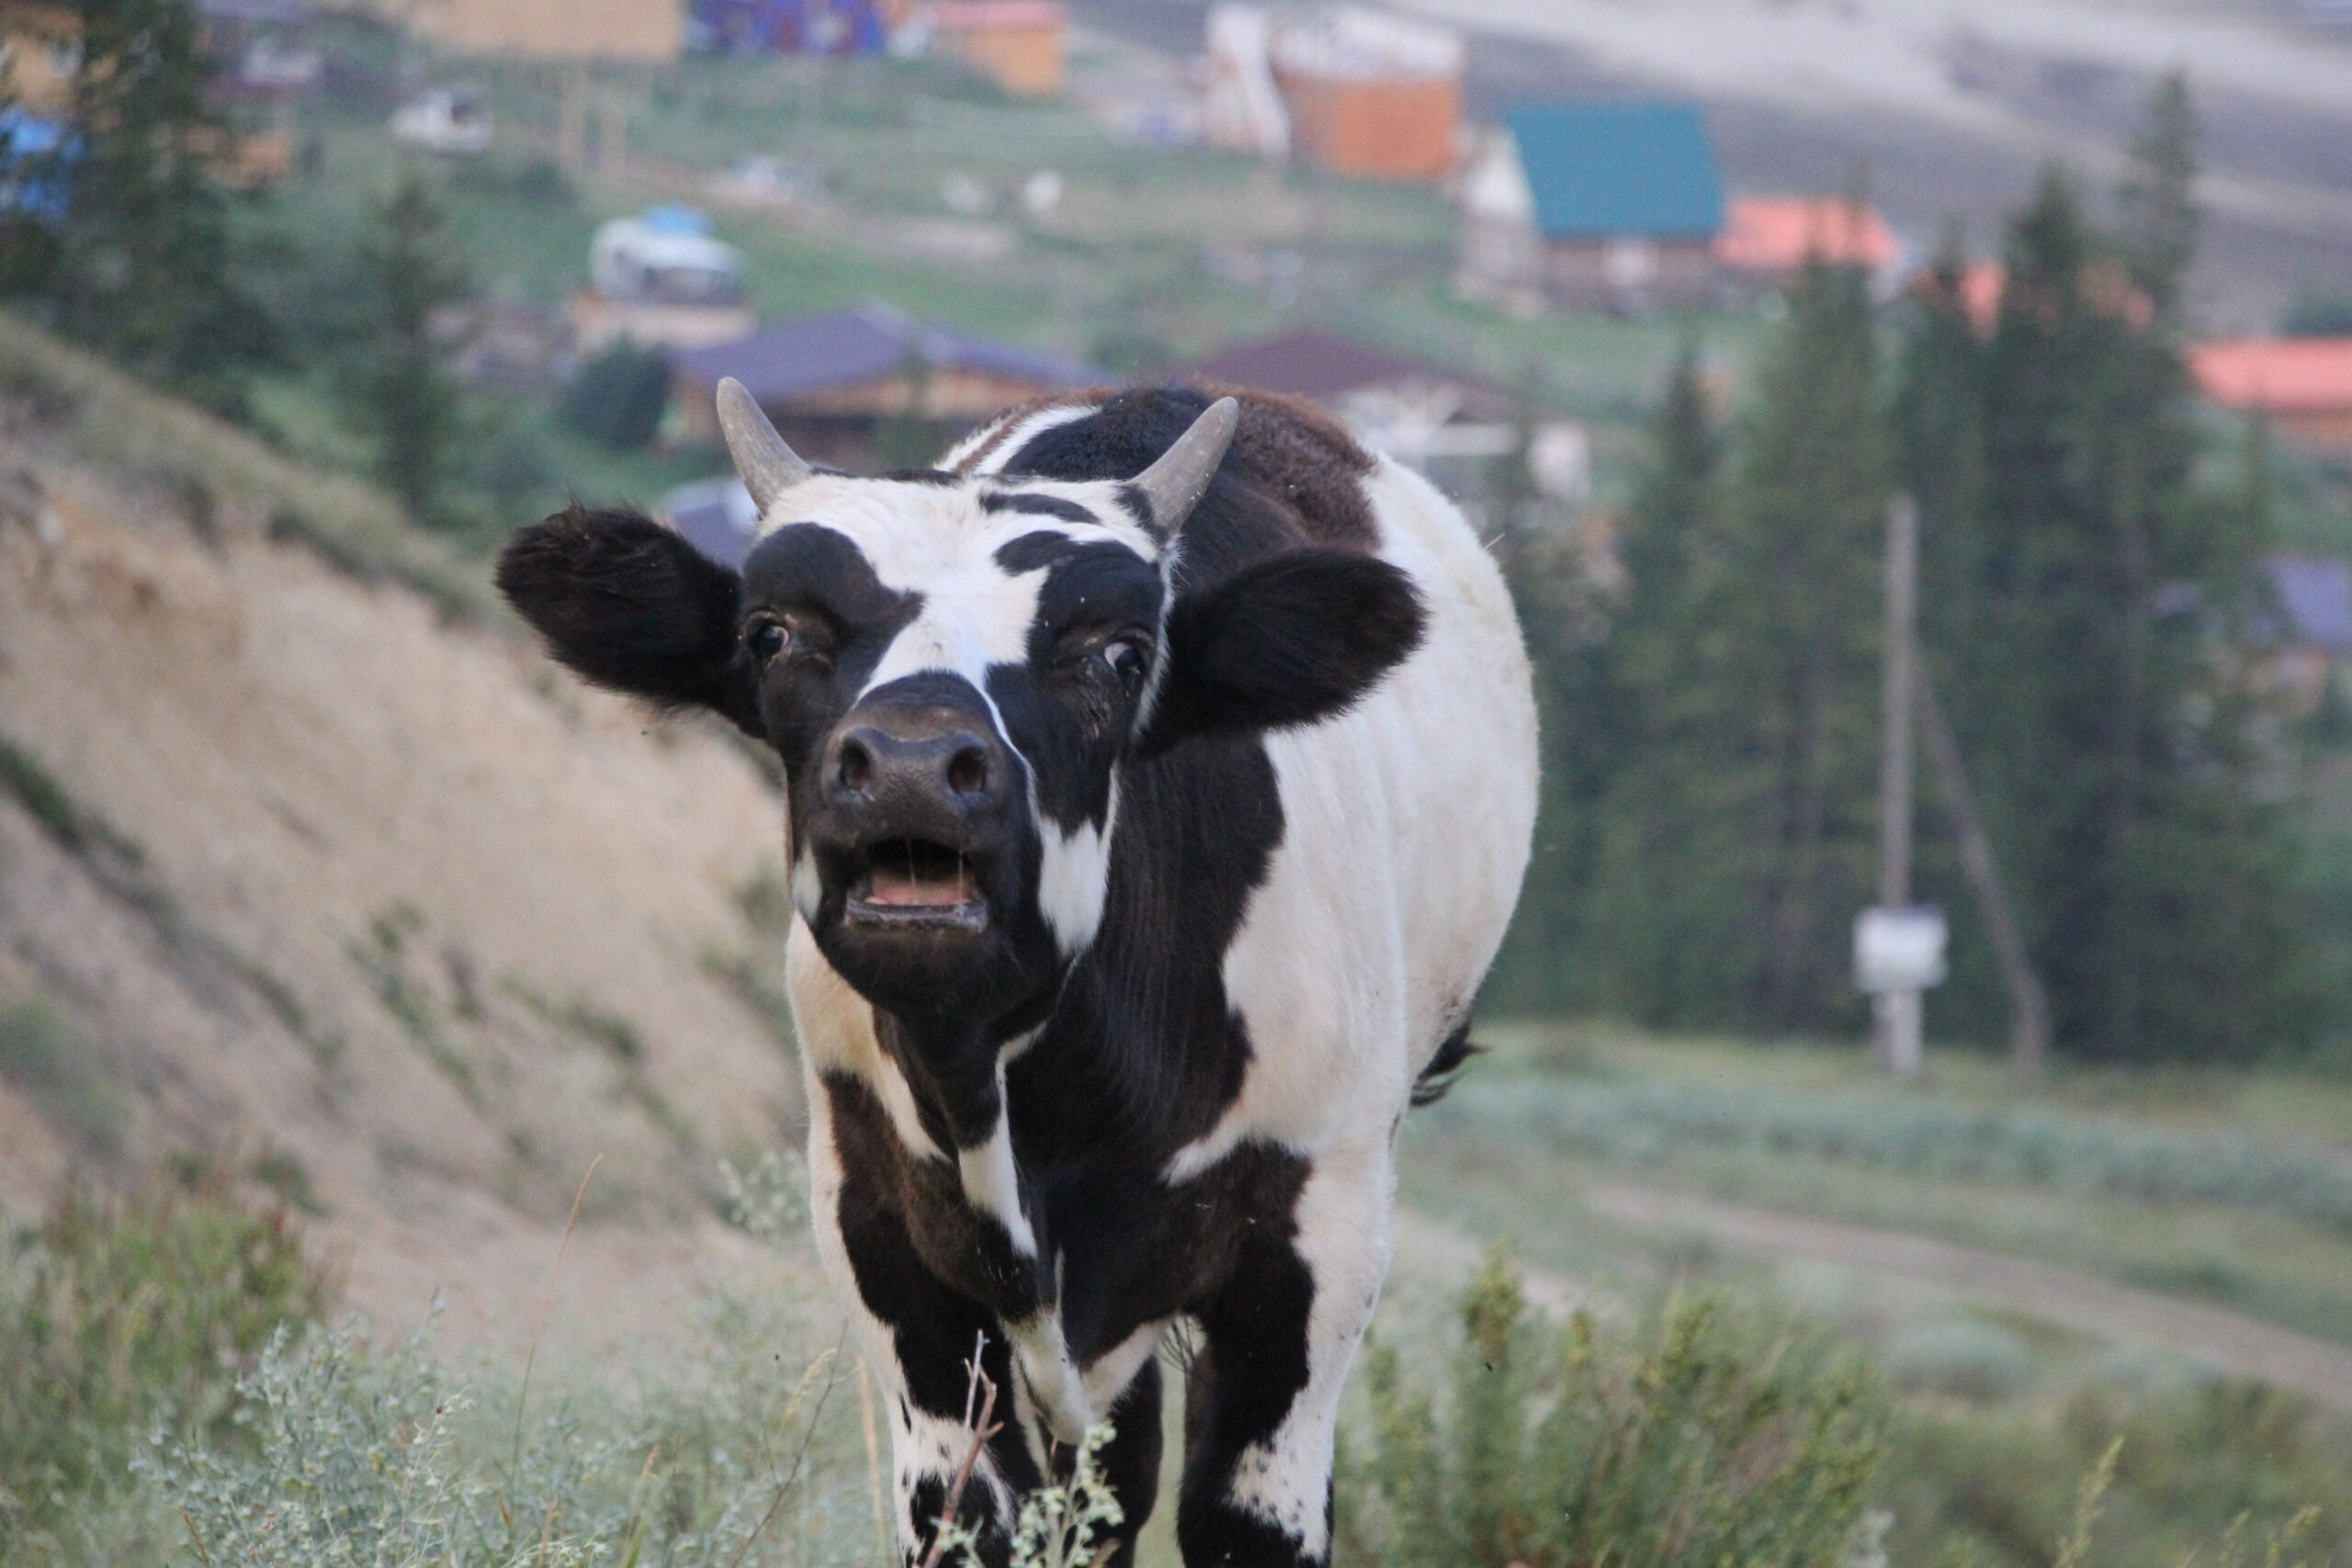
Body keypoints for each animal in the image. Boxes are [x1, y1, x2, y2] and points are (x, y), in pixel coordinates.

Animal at [496, 383, 1533, 1568]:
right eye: (771, 635)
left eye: (1120, 655)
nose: (909, 767)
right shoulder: (886, 1248)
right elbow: (979, 1517)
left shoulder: (1314, 1250)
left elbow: (1240, 1518)